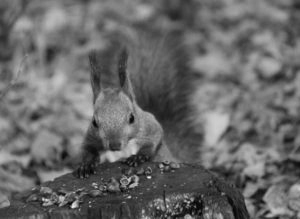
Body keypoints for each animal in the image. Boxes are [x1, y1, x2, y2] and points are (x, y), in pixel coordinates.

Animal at [74, 26, 202, 179]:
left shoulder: (151, 125)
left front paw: (139, 156)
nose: (114, 145)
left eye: (132, 118)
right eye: (94, 122)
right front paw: (86, 164)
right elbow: (87, 148)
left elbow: (154, 138)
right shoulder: (91, 136)